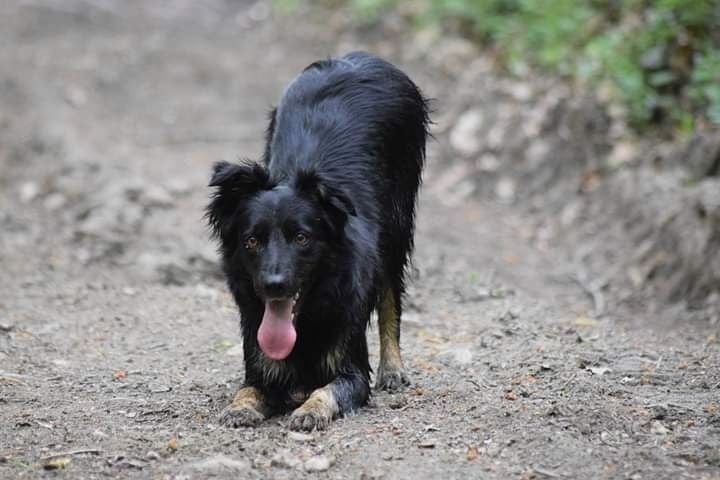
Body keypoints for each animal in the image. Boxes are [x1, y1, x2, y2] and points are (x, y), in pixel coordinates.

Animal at [207, 53, 428, 432]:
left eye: (302, 237)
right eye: (251, 240)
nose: (274, 286)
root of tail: (359, 57)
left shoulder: (353, 368)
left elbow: (329, 389)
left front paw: (309, 410)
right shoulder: (258, 359)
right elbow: (248, 388)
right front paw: (239, 407)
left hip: (398, 224)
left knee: (390, 295)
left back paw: (393, 369)